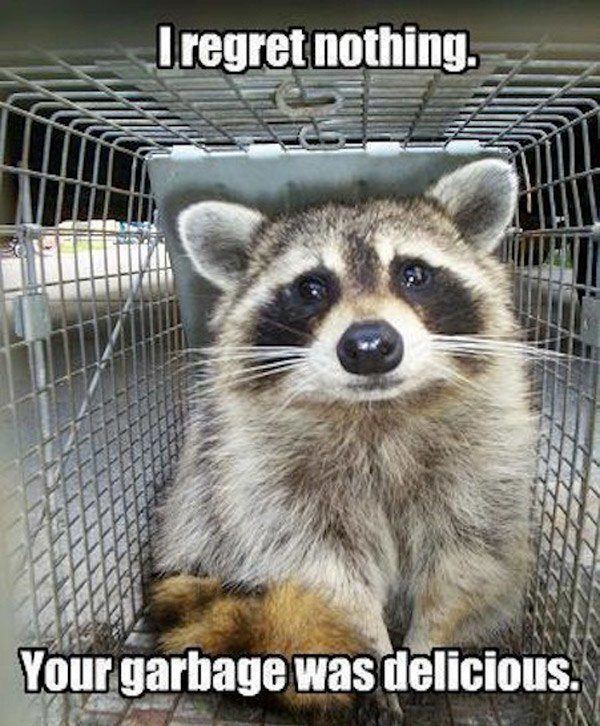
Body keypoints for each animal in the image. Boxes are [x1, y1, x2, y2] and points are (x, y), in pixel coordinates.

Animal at [152, 159, 535, 717]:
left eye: (413, 273)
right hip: (198, 514)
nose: (370, 346)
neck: (376, 410)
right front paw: (371, 650)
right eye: (312, 288)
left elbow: (467, 557)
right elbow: (325, 571)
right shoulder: (264, 478)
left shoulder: (487, 459)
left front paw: (428, 638)